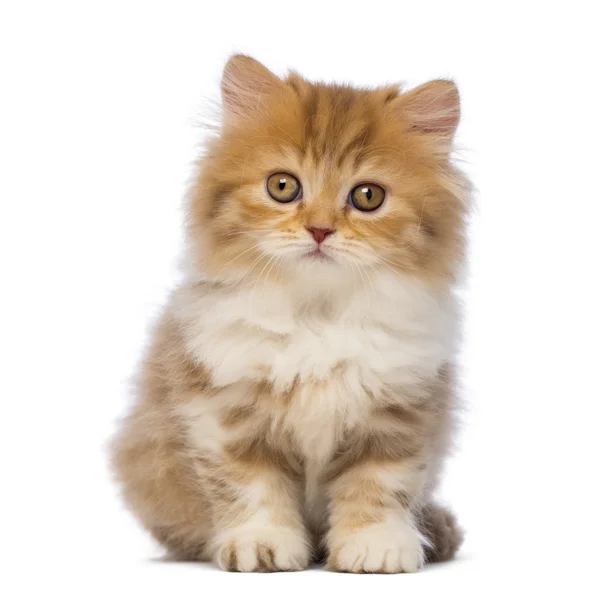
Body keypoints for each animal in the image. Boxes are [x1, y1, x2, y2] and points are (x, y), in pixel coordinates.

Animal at [111, 55, 472, 572]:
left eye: (368, 196)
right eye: (283, 186)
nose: (319, 230)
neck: (317, 316)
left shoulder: (400, 409)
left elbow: (381, 484)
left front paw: (376, 545)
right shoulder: (223, 408)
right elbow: (250, 485)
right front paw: (261, 544)